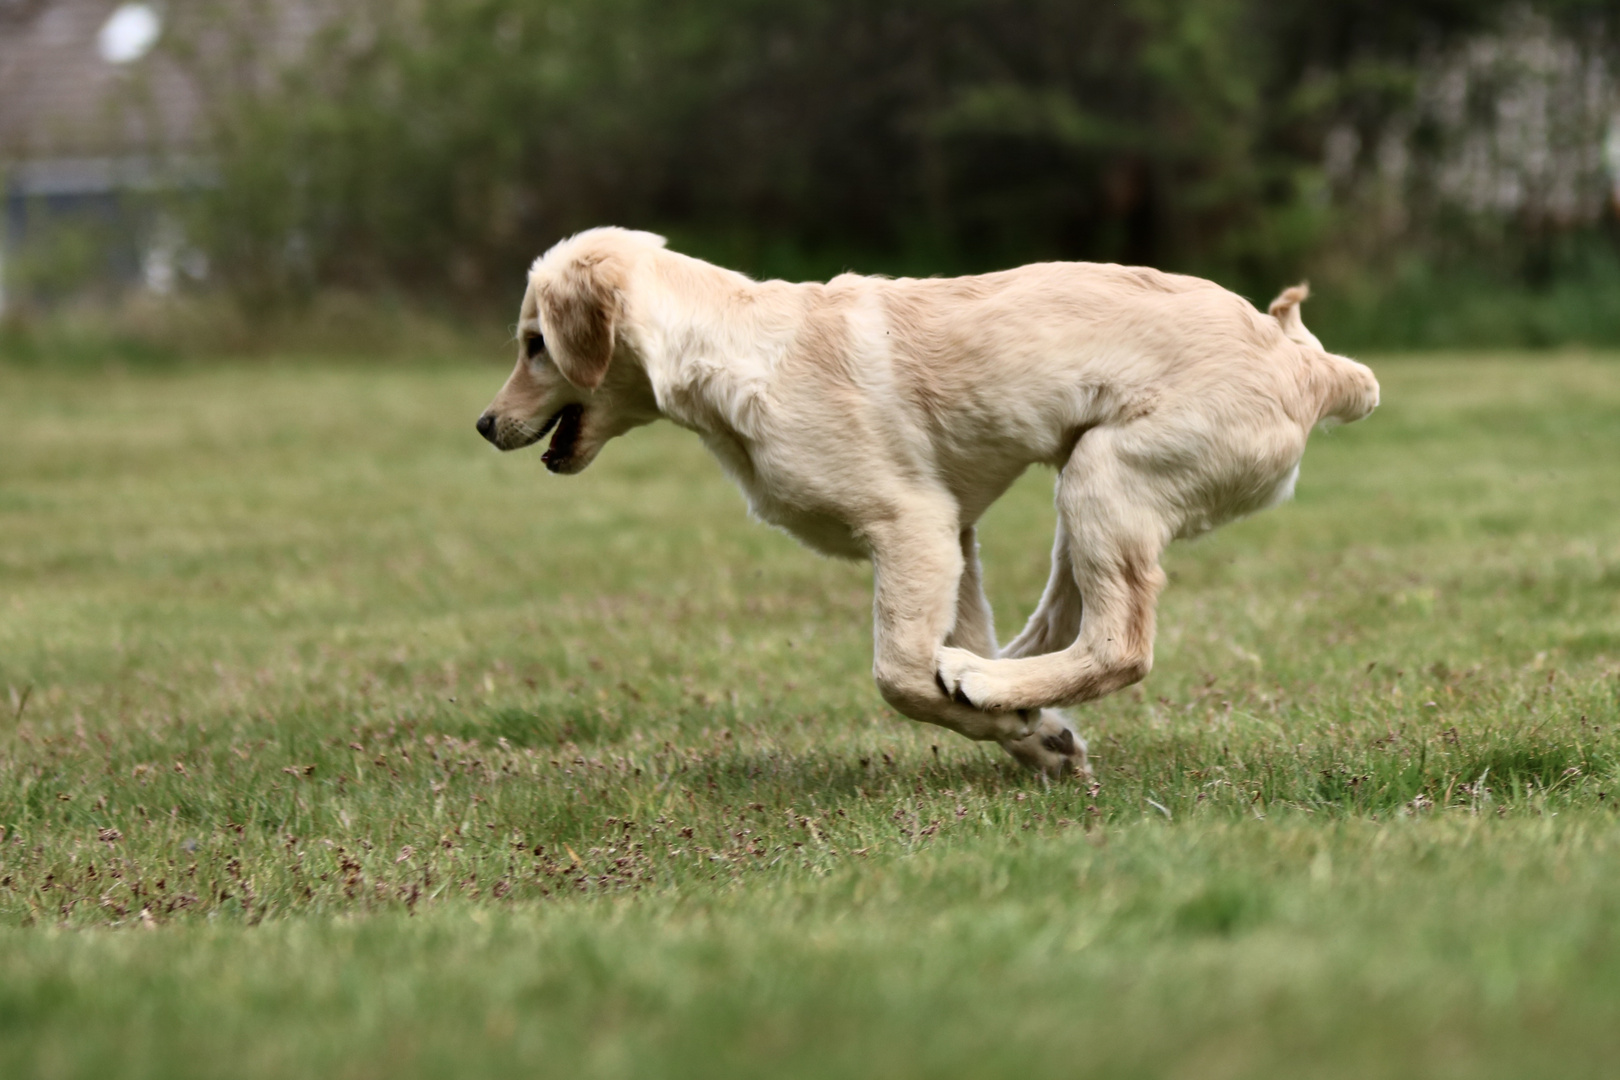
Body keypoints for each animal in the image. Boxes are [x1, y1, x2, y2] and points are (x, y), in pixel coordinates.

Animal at [473, 233, 1373, 780]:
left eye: (534, 344)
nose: (483, 424)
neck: (741, 354)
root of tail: (1313, 366)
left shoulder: (914, 530)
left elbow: (901, 677)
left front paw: (1006, 720)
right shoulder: (955, 539)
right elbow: (945, 648)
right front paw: (1040, 739)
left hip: (1108, 477)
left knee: (1119, 645)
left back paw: (989, 679)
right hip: (1088, 484)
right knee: (1063, 622)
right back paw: (1015, 681)